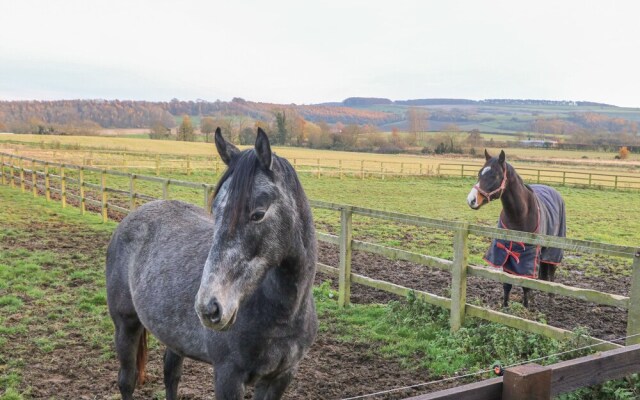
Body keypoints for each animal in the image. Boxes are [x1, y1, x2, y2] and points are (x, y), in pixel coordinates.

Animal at [106, 129, 318, 400]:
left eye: (258, 214)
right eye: (216, 211)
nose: (208, 308)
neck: (284, 314)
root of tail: (129, 219)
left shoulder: (280, 377)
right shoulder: (228, 375)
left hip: (173, 337)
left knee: (171, 373)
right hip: (125, 324)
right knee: (127, 380)